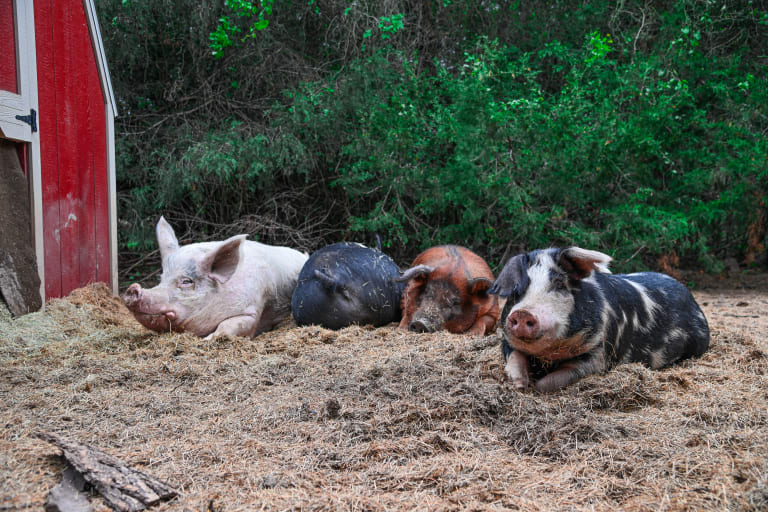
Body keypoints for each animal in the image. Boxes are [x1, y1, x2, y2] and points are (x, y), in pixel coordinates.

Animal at [122, 217, 308, 339]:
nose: (133, 288)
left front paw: (207, 339)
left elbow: (227, 326)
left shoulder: (252, 310)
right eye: (162, 278)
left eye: (186, 281)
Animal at [489, 247, 710, 392]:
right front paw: (518, 383)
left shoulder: (601, 352)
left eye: (559, 283)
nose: (522, 313)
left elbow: (566, 373)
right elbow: (515, 355)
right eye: (517, 289)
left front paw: (537, 386)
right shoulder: (506, 339)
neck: (549, 355)